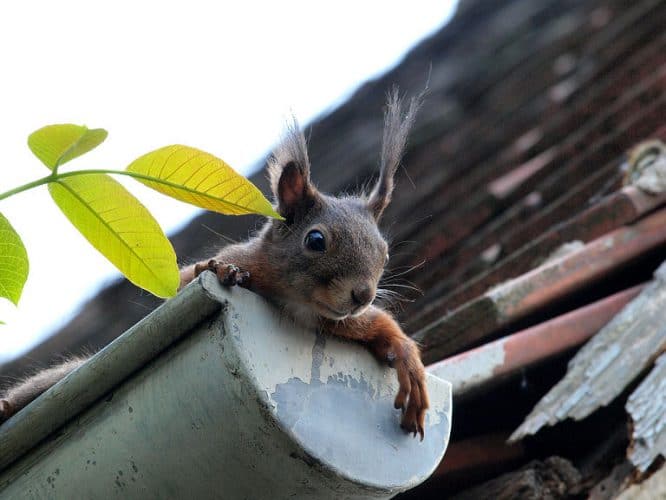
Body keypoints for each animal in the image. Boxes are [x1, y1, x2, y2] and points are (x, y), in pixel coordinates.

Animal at [0, 90, 426, 438]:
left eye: (385, 252)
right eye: (316, 240)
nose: (362, 295)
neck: (298, 302)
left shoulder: (336, 321)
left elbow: (380, 326)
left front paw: (408, 360)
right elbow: (184, 281)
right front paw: (219, 270)